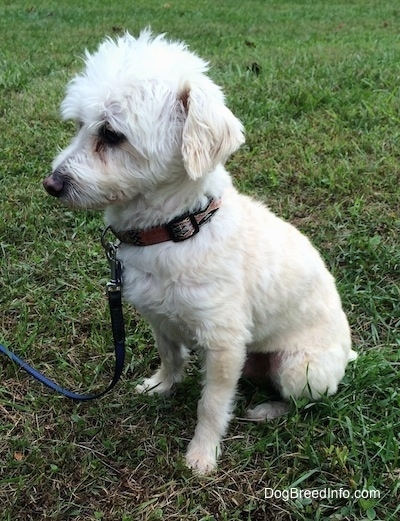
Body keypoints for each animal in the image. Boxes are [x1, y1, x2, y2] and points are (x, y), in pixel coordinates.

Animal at [43, 30, 356, 474]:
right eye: (79, 125)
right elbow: (171, 357)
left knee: (303, 402)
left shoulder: (223, 344)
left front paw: (202, 454)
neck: (177, 230)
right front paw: (162, 386)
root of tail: (349, 355)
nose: (51, 184)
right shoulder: (159, 318)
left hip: (300, 368)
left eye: (112, 135)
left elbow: (211, 404)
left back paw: (267, 410)